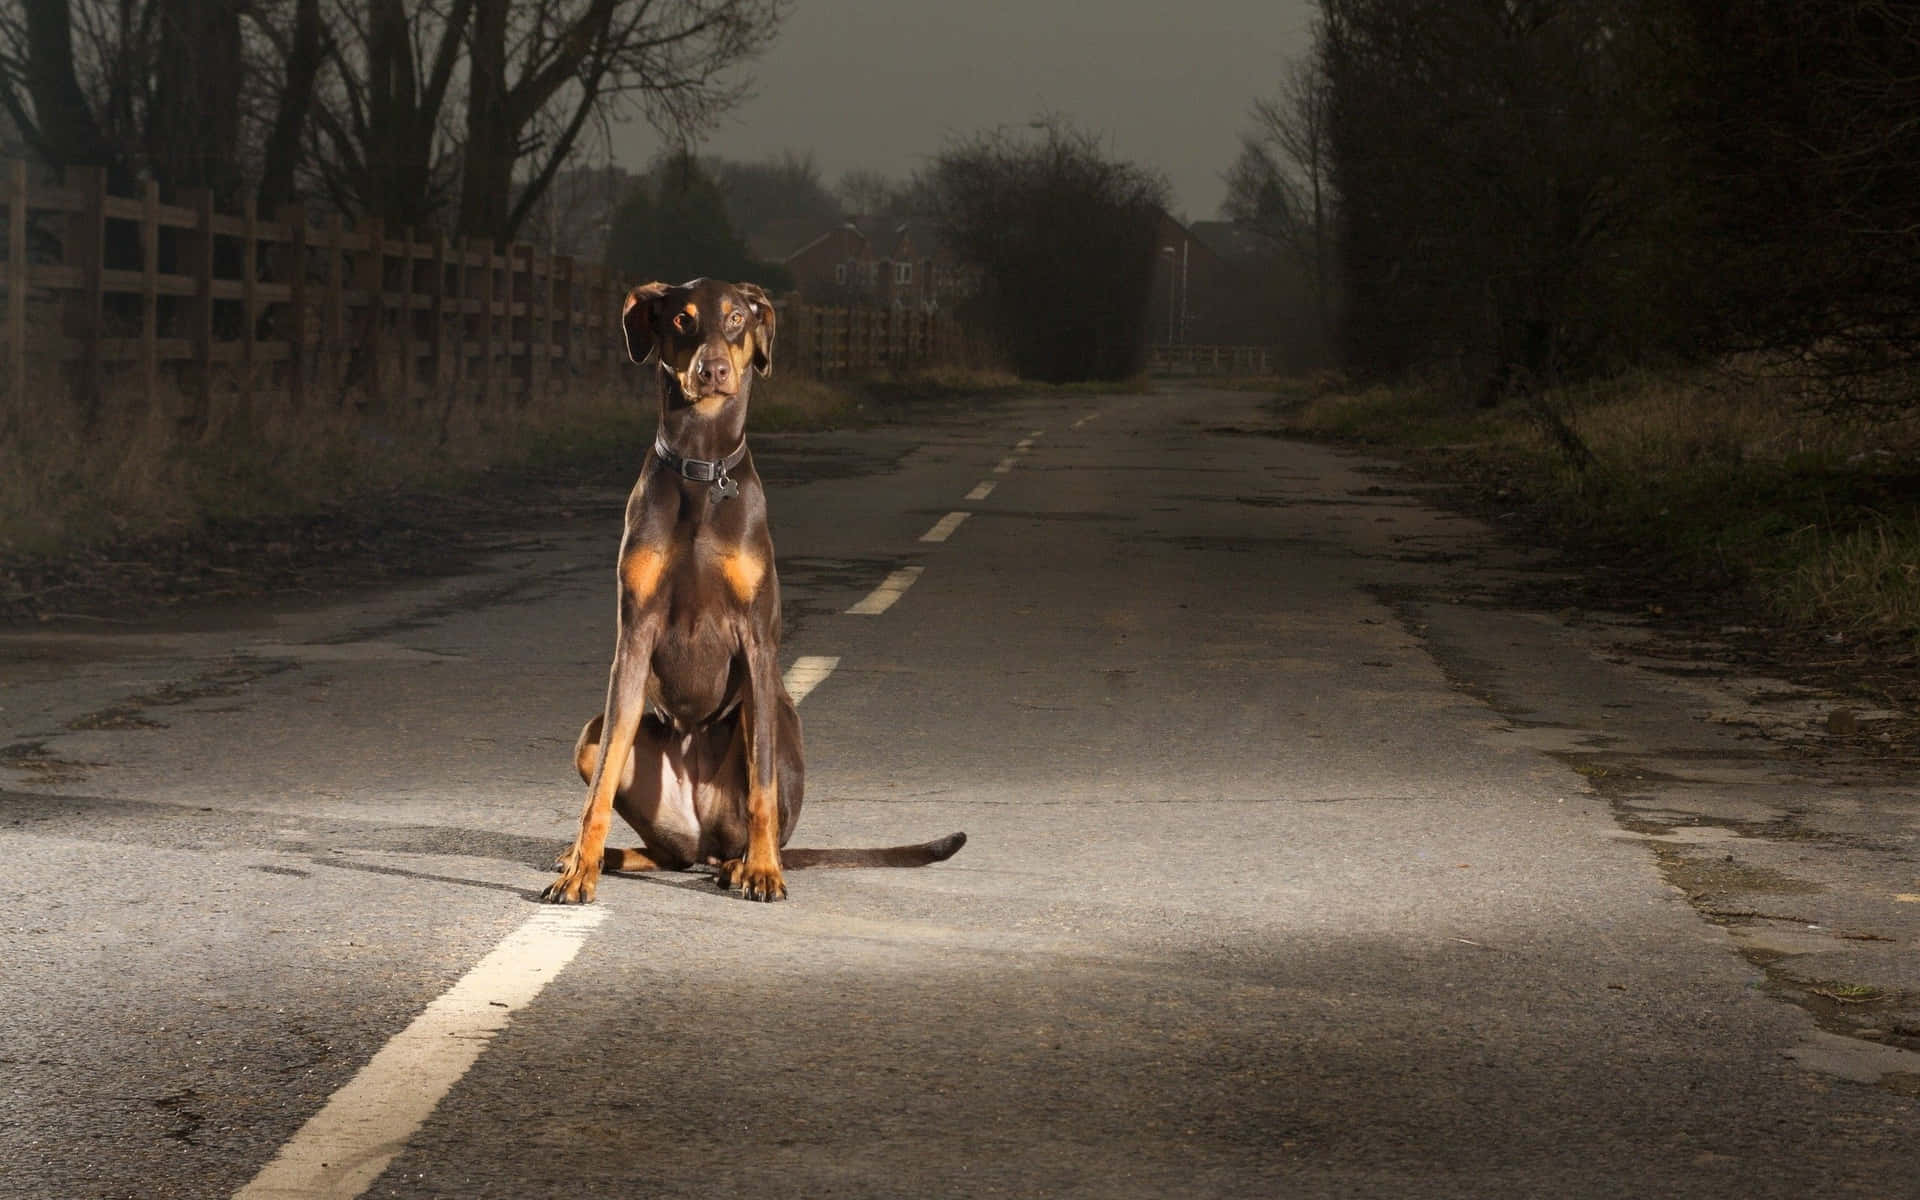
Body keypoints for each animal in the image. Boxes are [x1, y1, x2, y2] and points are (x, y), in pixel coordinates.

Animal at [537, 280, 960, 898]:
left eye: (737, 317)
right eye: (682, 319)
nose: (711, 369)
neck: (703, 466)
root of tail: (703, 837)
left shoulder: (756, 643)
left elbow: (760, 780)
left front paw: (762, 871)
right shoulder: (633, 639)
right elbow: (602, 785)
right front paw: (581, 868)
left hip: (778, 721)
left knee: (745, 819)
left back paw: (748, 861)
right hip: (597, 746)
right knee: (667, 851)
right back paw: (601, 856)